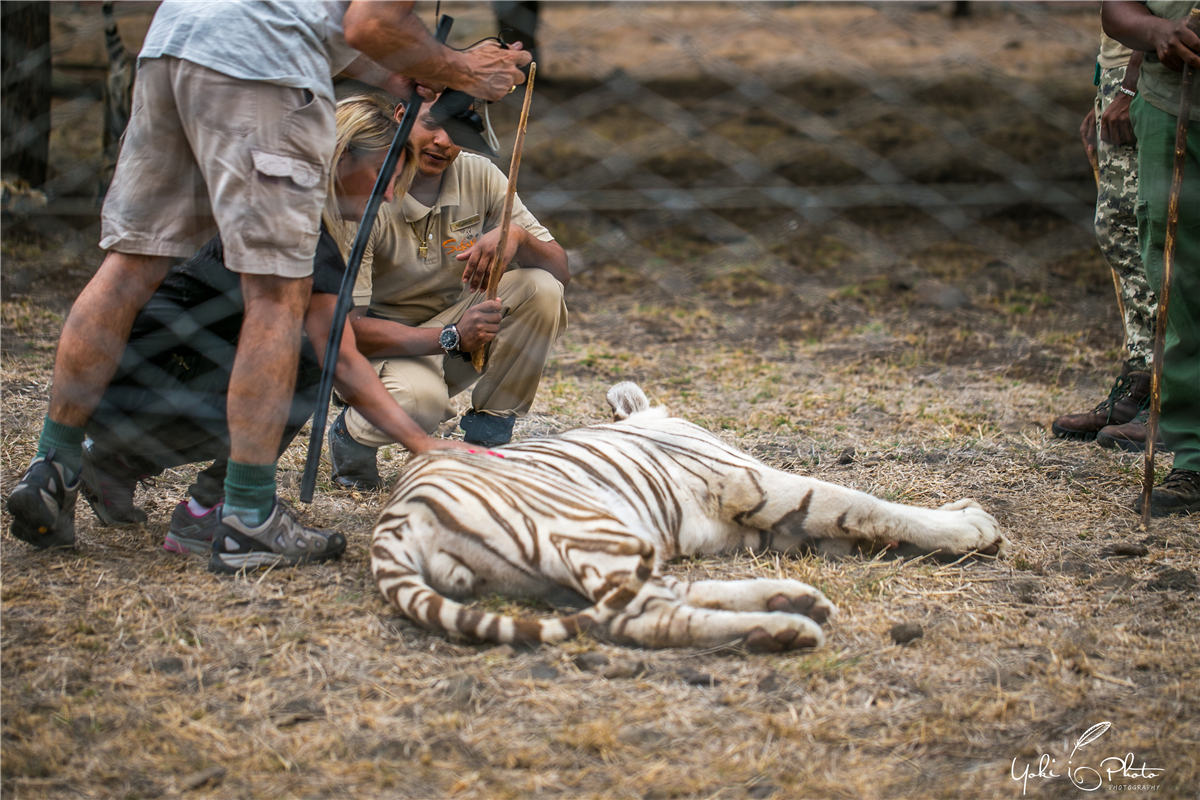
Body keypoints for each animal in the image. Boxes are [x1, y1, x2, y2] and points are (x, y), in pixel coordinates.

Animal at [369, 381, 1008, 652]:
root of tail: (393, 522)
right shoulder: (753, 482)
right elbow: (856, 502)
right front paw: (970, 526)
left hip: (601, 551)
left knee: (664, 596)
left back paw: (790, 604)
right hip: (590, 528)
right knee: (645, 619)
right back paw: (783, 630)